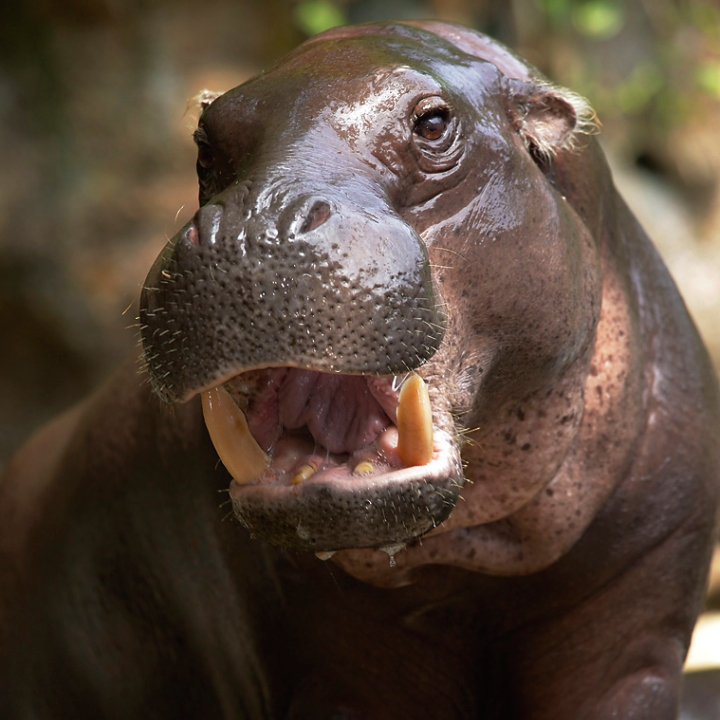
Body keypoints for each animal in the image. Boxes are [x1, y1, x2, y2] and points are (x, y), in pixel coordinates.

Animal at [1, 19, 719, 720]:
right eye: (205, 144)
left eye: (434, 122)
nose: (252, 230)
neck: (473, 562)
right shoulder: (335, 664)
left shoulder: (635, 639)